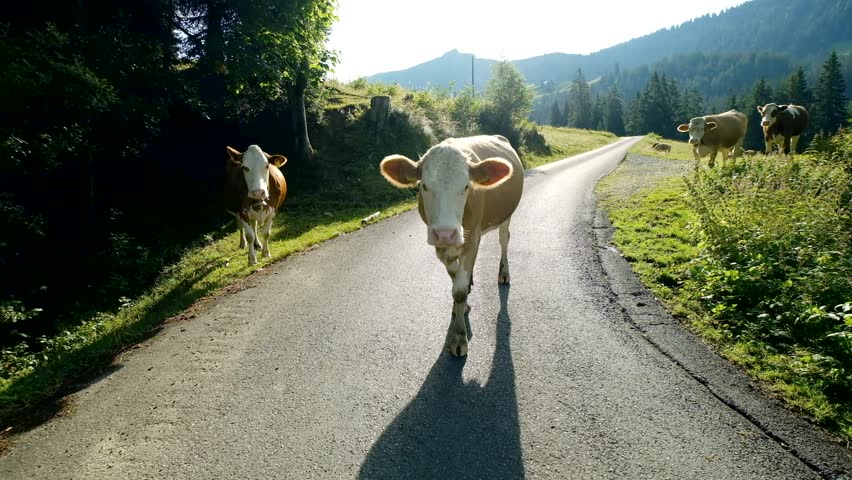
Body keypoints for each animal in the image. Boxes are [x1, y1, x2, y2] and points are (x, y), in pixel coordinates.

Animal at [379, 135, 523, 357]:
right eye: (424, 186)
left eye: (466, 186)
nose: (445, 233)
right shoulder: (442, 245)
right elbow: (455, 277)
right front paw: (459, 307)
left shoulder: (471, 239)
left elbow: (459, 290)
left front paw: (459, 337)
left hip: (505, 217)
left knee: (504, 239)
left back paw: (504, 273)